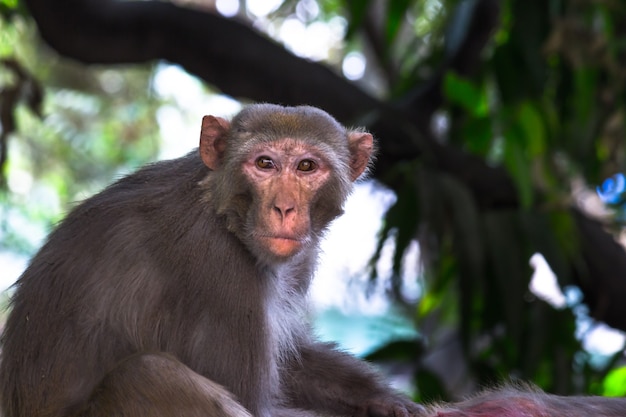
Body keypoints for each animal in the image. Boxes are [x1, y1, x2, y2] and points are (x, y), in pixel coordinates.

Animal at [0, 103, 424, 416]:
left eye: (306, 166)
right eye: (265, 163)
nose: (284, 208)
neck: (224, 211)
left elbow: (288, 363)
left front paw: (385, 400)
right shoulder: (218, 267)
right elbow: (257, 403)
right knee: (148, 373)